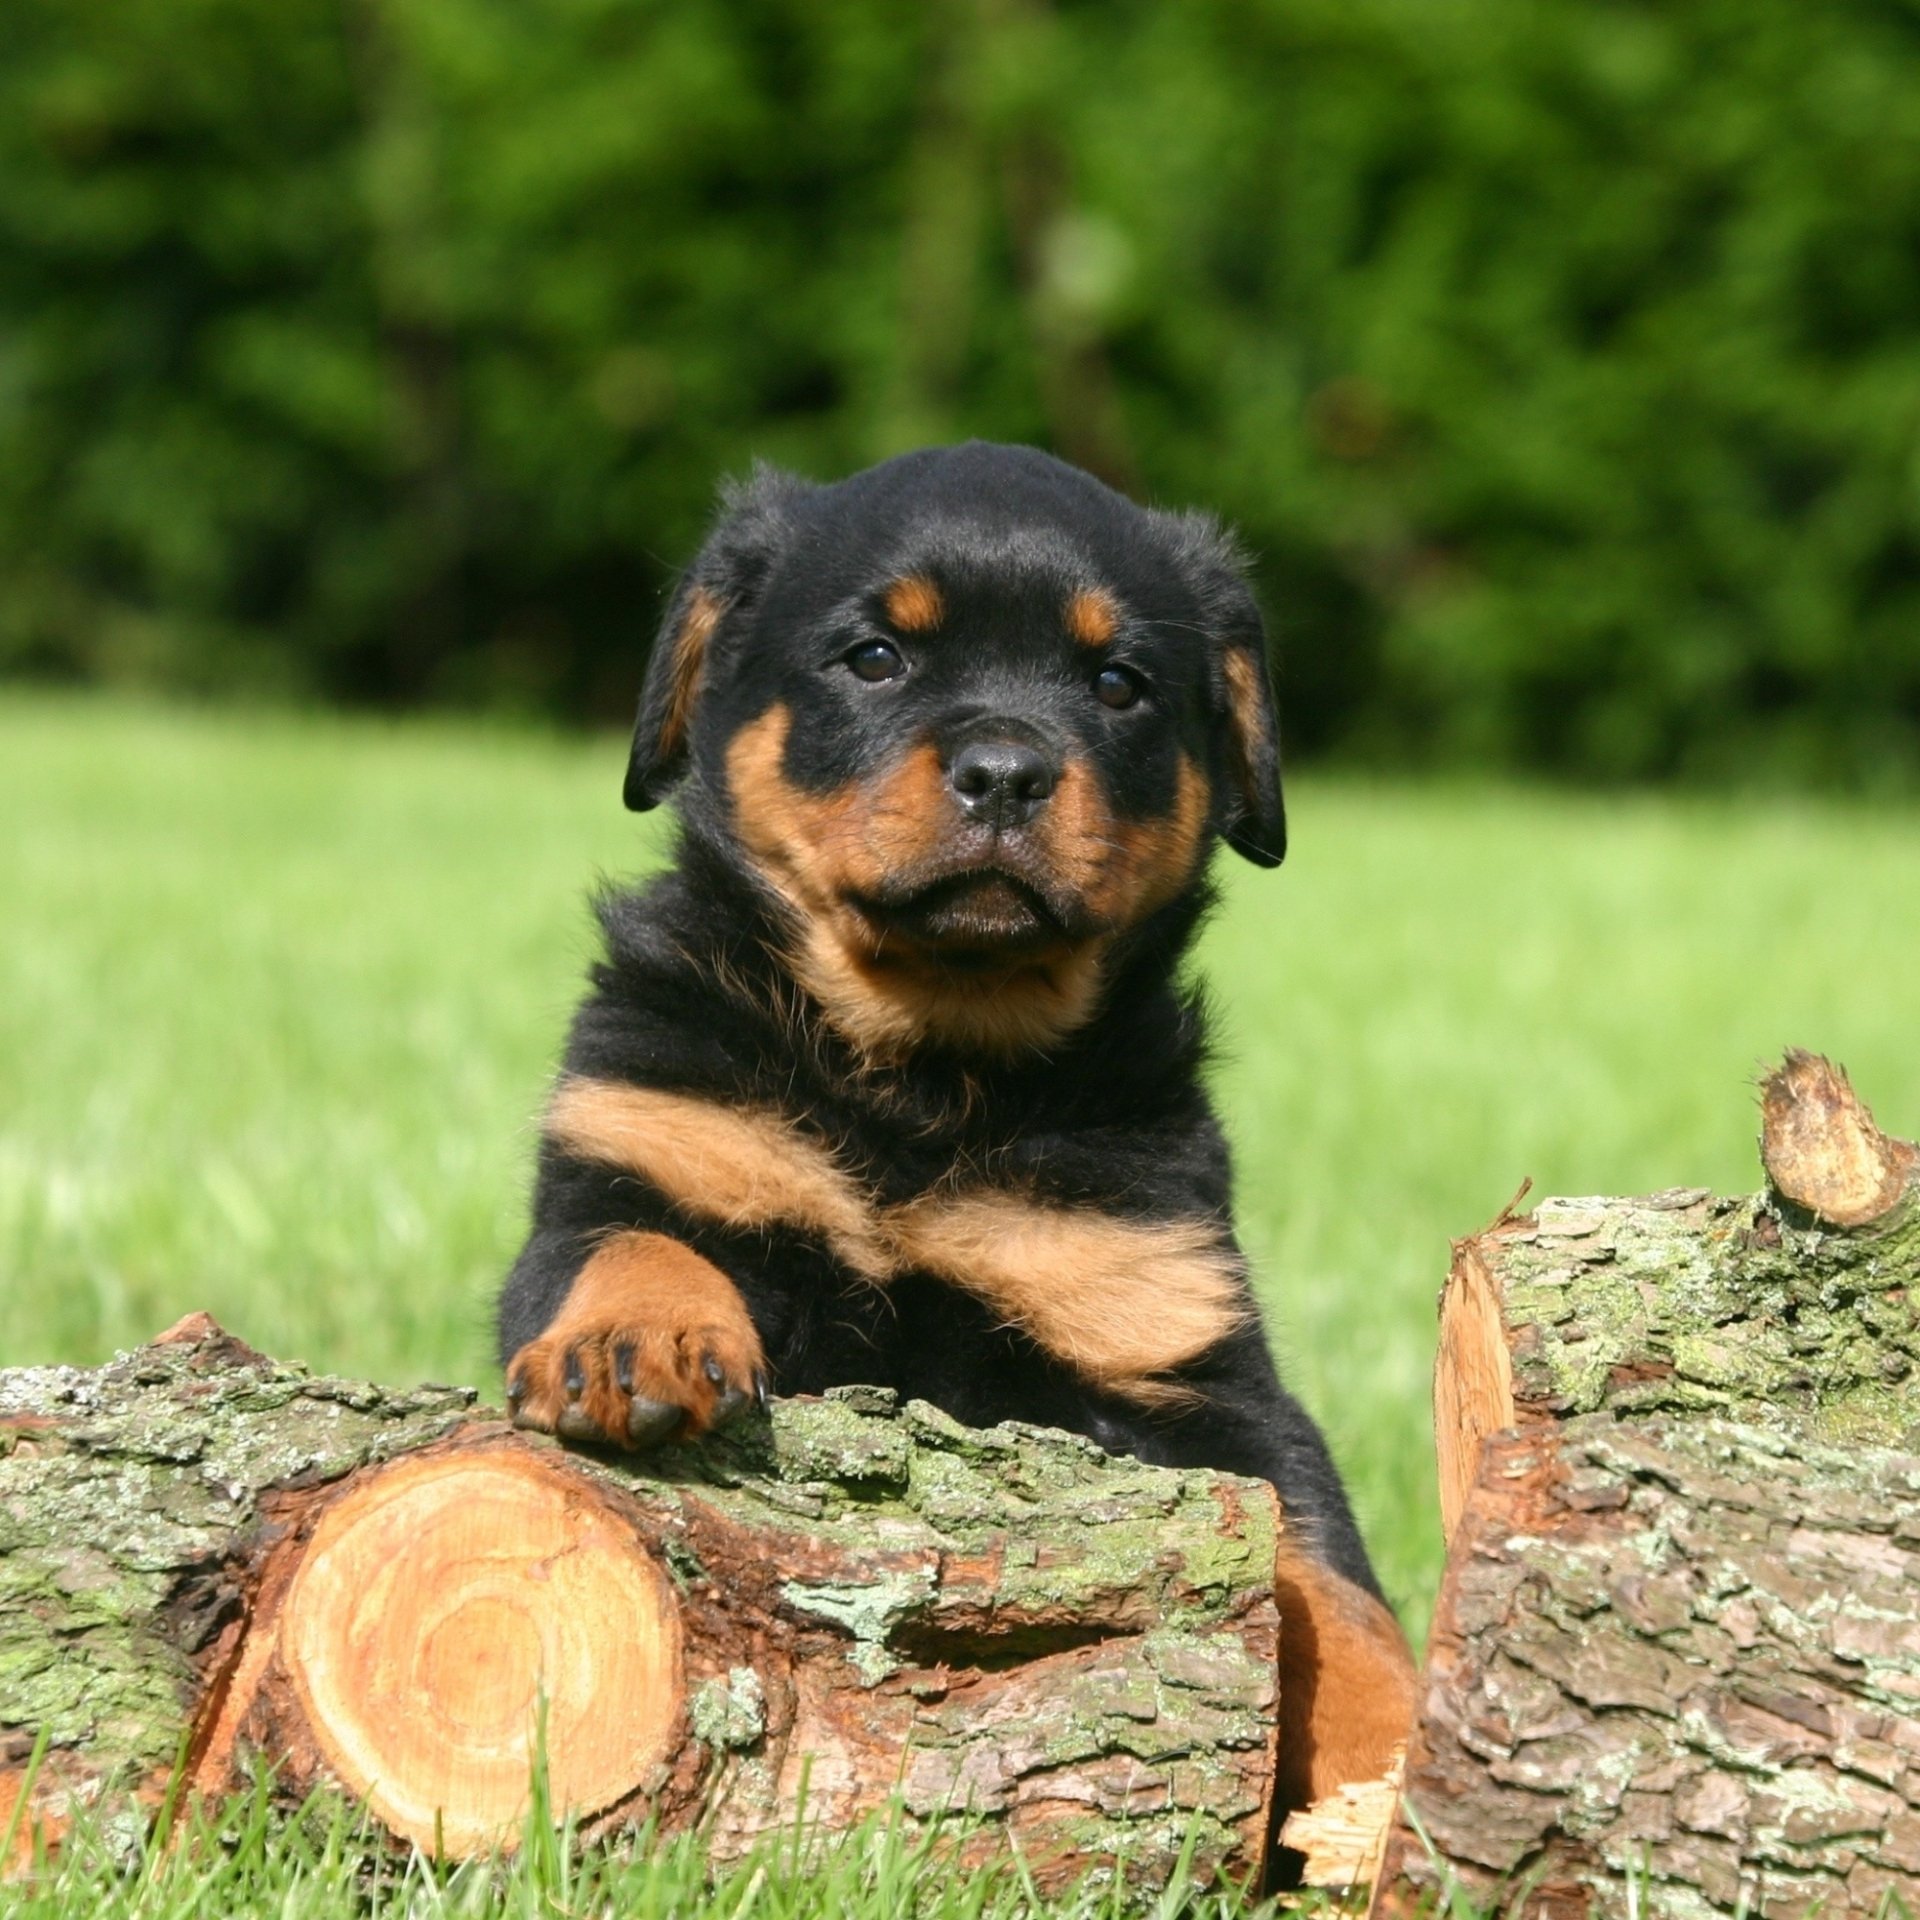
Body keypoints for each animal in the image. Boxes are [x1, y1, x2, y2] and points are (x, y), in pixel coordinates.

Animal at [503, 441, 1420, 1804]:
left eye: (1118, 683)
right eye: (875, 656)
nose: (1005, 771)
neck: (927, 1072)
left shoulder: (1174, 1343)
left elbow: (1326, 1576)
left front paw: (1403, 1754)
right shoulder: (635, 1143)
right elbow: (629, 1242)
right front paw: (633, 1343)